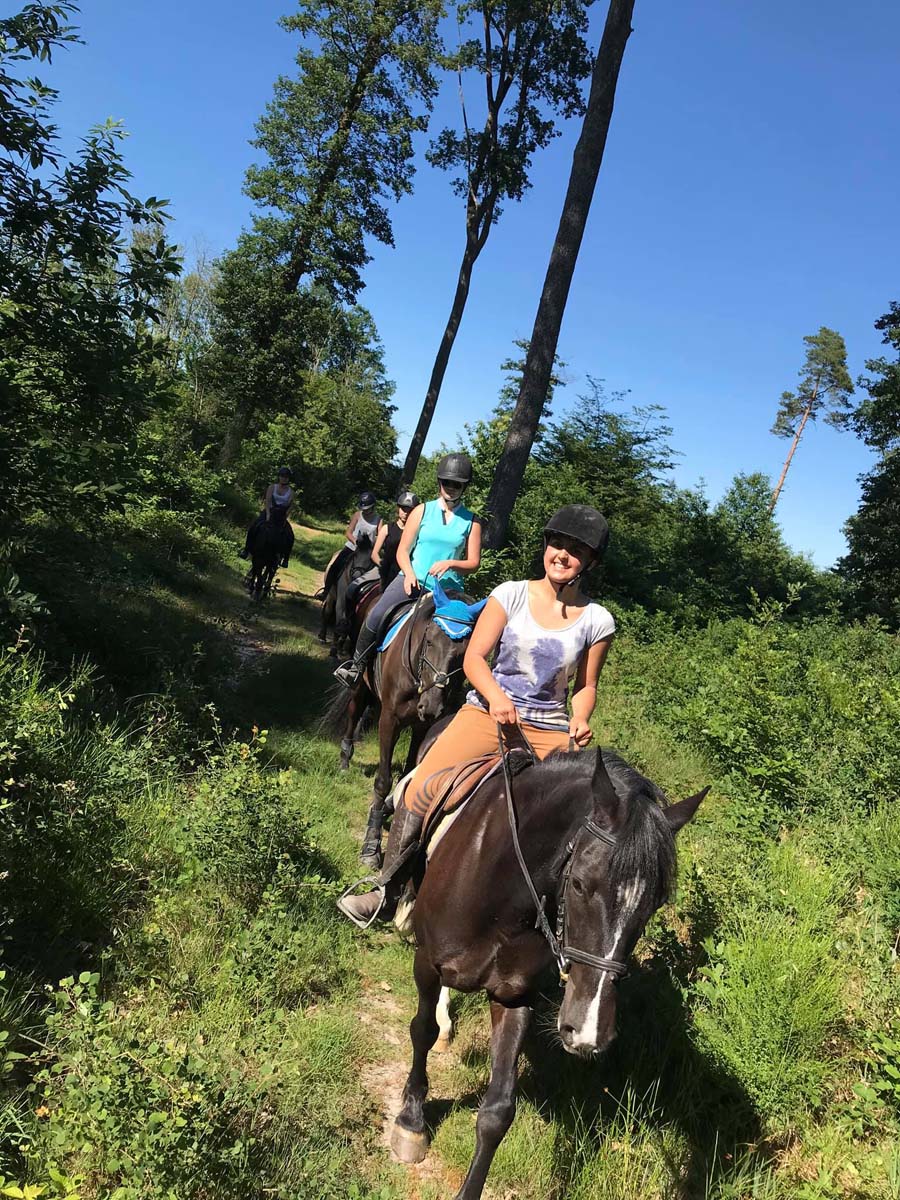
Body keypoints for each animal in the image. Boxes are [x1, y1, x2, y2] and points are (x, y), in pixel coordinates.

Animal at [391, 744, 710, 1195]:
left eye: (654, 904)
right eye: (578, 884)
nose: (588, 1031)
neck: (501, 896)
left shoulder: (513, 995)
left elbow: (498, 1112)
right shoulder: (428, 963)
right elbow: (421, 1031)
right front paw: (412, 1121)